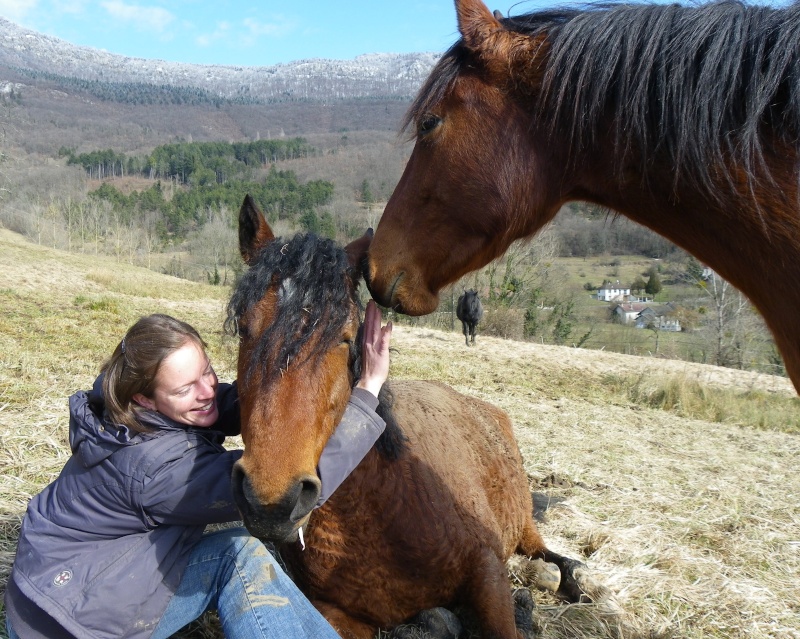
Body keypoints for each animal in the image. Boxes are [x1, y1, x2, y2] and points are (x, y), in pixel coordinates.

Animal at [225, 195, 588, 639]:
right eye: (244, 328)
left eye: (345, 336)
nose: (272, 501)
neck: (384, 504)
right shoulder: (335, 613)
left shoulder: (487, 571)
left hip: (521, 524)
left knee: (543, 550)